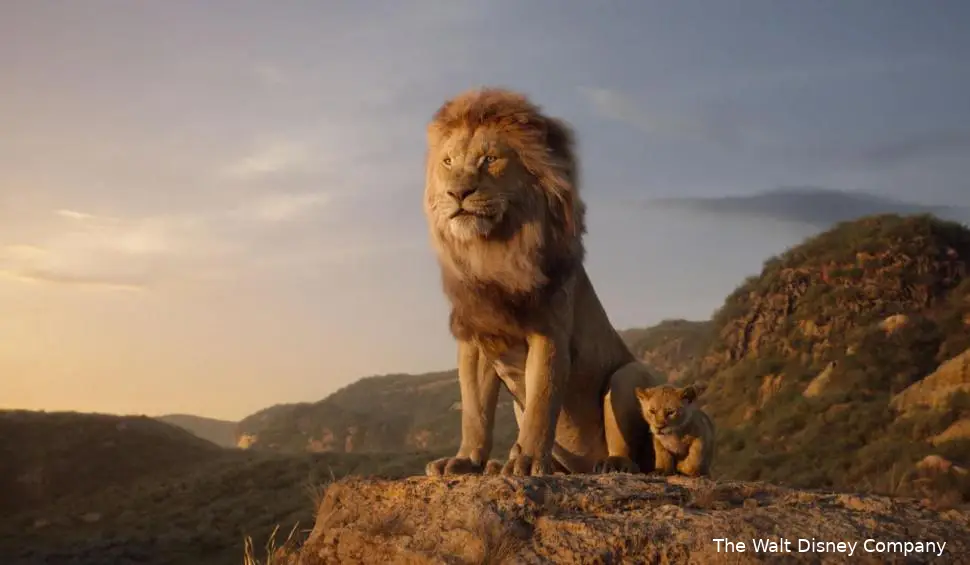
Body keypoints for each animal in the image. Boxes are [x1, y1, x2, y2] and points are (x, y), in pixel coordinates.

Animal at [422, 87, 663, 477]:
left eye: (490, 159)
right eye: (448, 162)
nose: (457, 193)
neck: (493, 251)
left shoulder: (549, 332)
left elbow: (541, 402)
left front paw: (528, 461)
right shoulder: (476, 339)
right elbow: (475, 411)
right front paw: (466, 460)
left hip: (628, 376)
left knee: (632, 451)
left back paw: (612, 464)